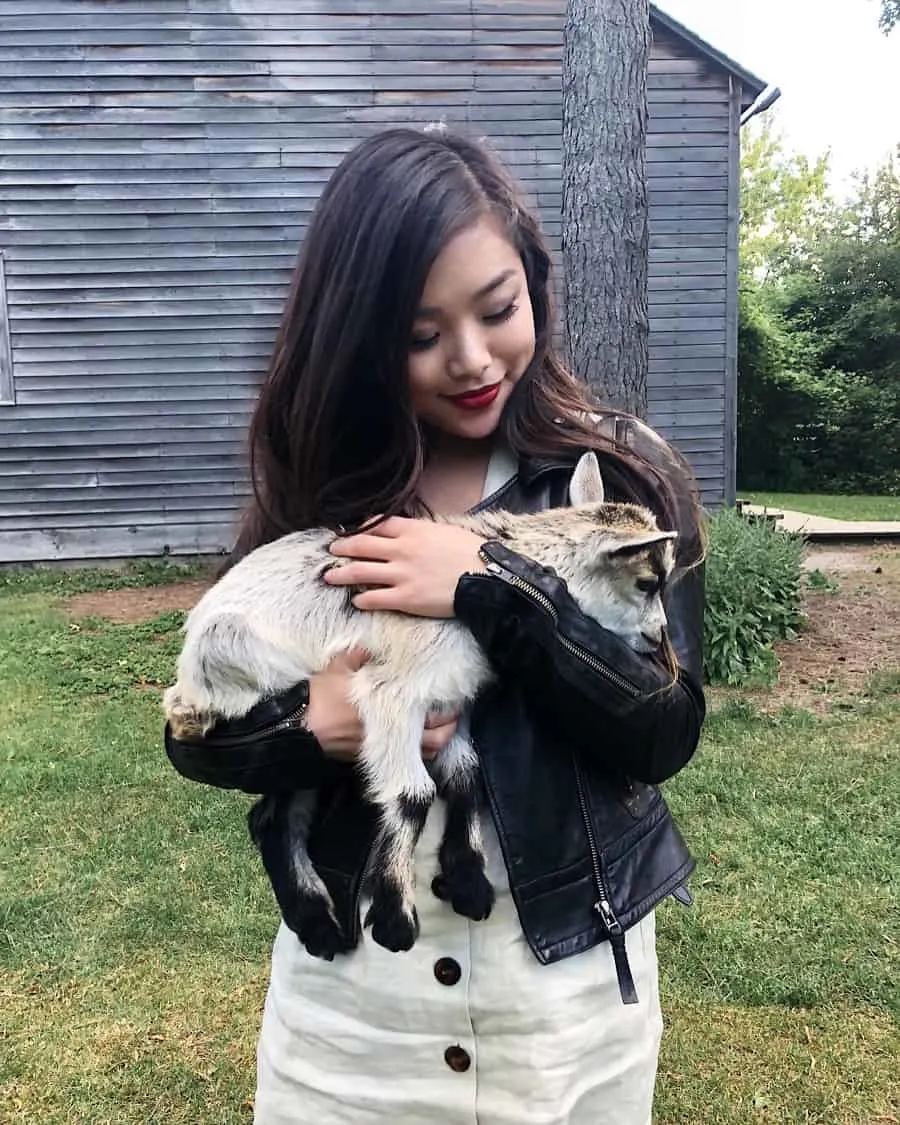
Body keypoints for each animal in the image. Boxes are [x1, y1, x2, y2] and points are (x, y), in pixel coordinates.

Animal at [165, 452, 679, 963]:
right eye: (647, 582)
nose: (658, 638)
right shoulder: (391, 693)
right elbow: (413, 793)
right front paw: (395, 921)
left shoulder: (450, 700)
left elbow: (466, 774)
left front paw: (468, 882)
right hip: (238, 658)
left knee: (273, 815)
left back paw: (318, 926)